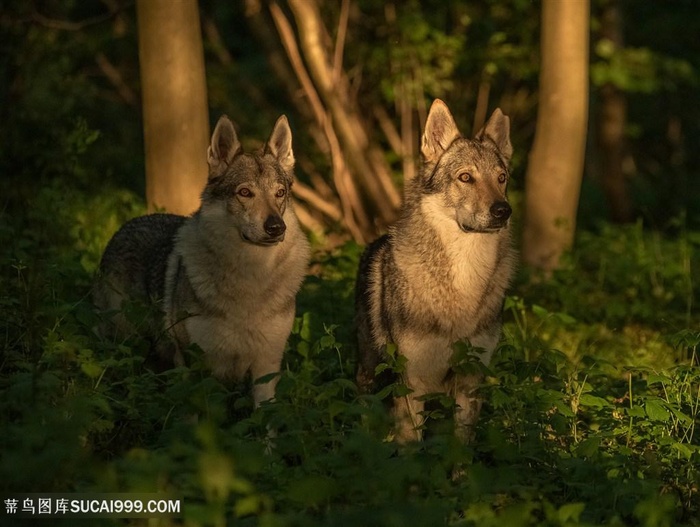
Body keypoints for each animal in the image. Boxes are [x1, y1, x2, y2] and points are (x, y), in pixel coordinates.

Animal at [93, 113, 308, 406]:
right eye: (245, 193)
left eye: (280, 193)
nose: (276, 227)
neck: (252, 276)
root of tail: (126, 224)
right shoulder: (197, 364)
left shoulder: (267, 366)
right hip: (123, 343)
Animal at [356, 99, 516, 442]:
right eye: (466, 177)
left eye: (501, 178)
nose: (503, 210)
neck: (465, 278)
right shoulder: (412, 384)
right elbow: (411, 446)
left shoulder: (471, 381)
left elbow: (460, 449)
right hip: (370, 375)